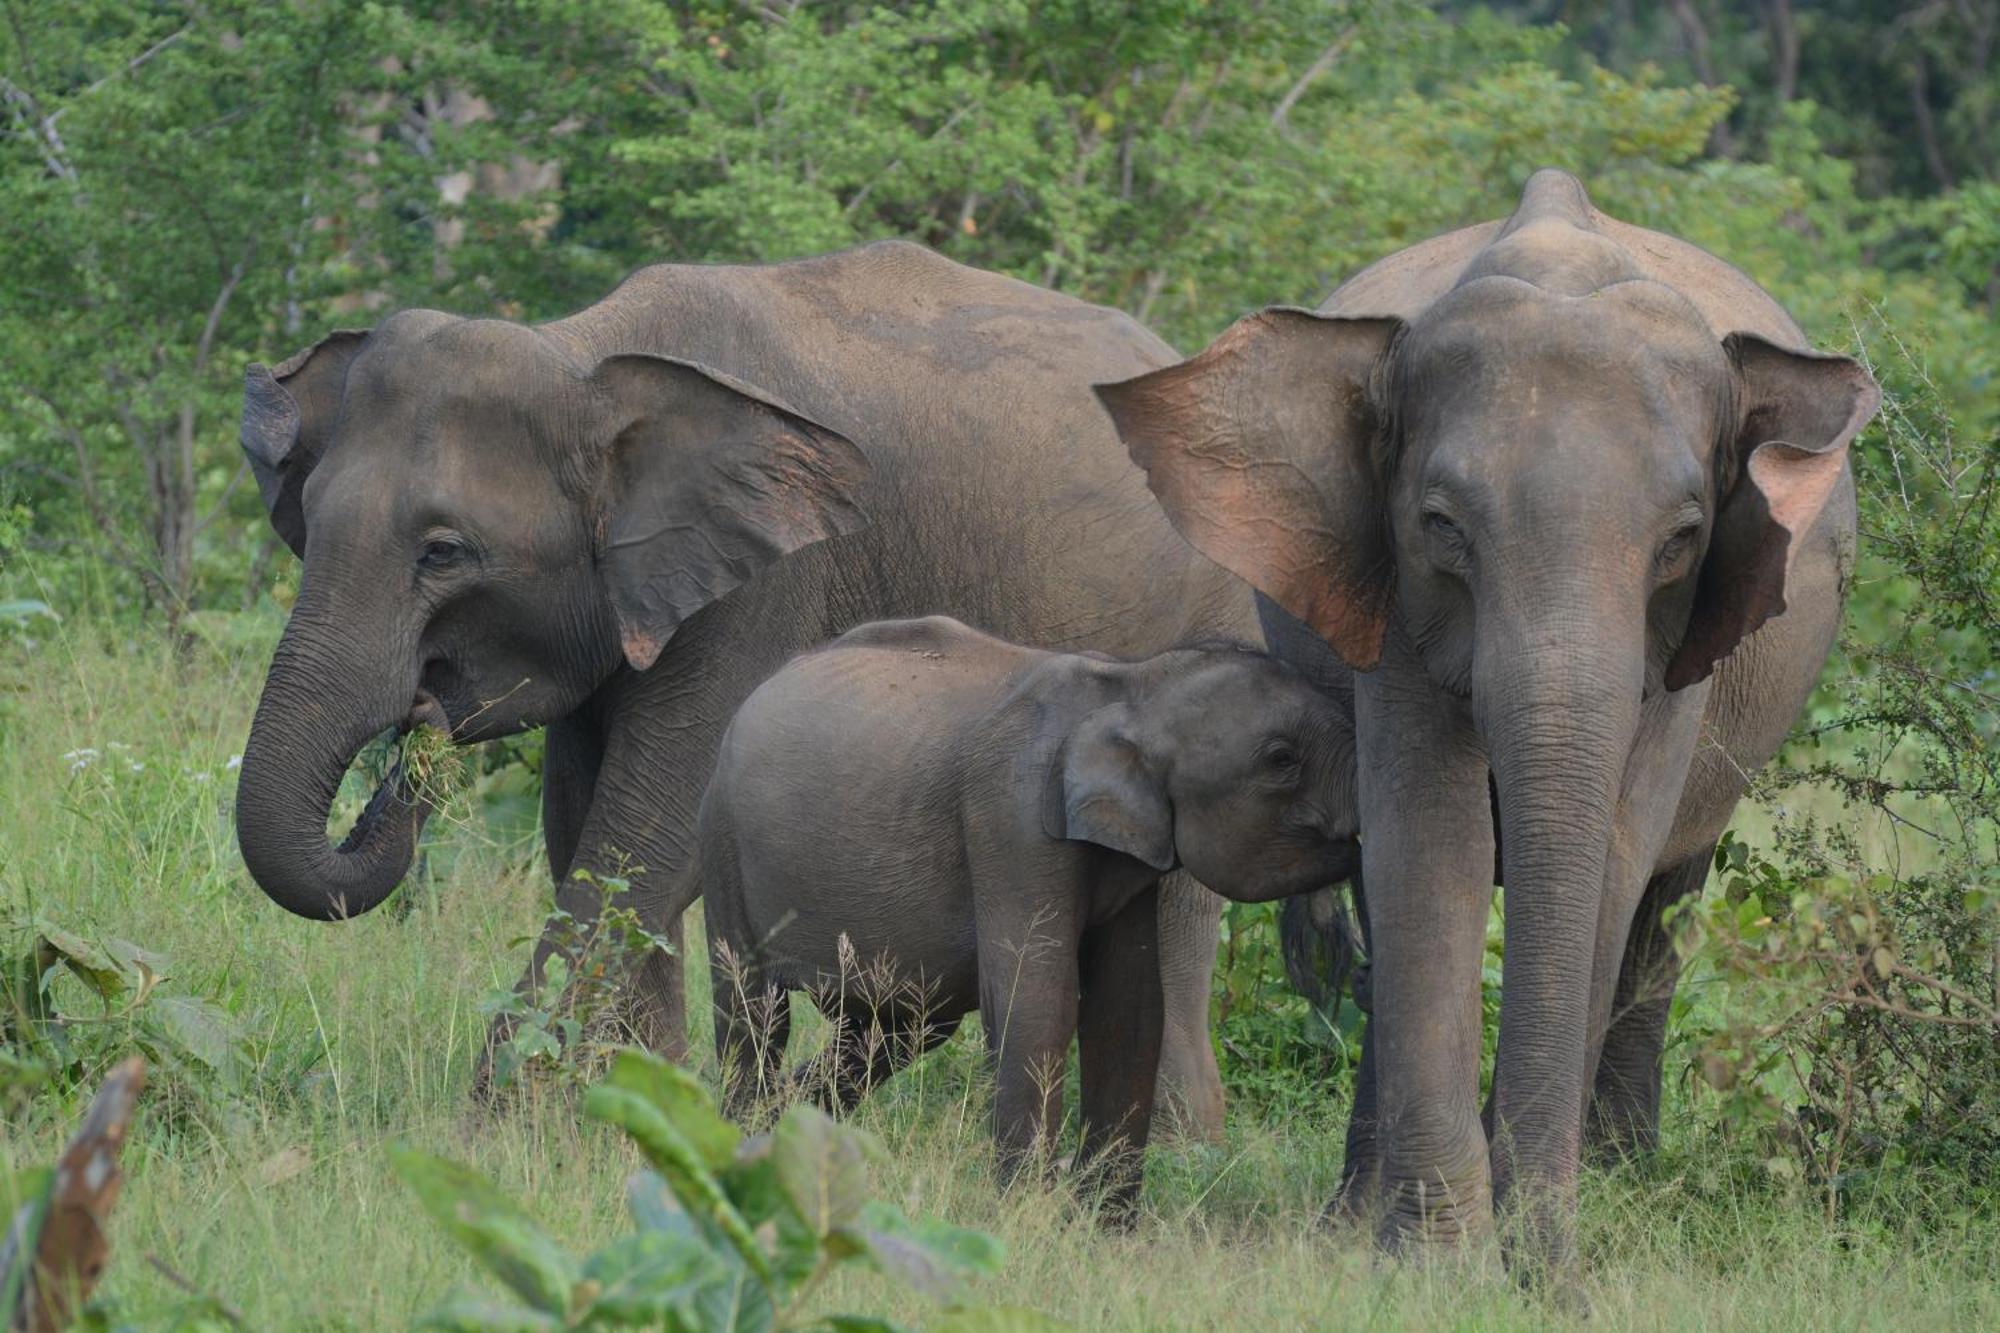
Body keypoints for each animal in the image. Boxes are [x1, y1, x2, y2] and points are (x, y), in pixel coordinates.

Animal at [234, 241, 1248, 1128]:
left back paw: (1186, 1151)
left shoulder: (767, 585)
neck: (586, 353)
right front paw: (632, 1116)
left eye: (443, 552)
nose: (421, 717)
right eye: (306, 521)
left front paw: (494, 1134)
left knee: (1179, 902)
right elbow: (586, 829)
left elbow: (650, 830)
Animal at [688, 616, 1360, 1216]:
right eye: (1281, 759)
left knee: (895, 1030)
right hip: (721, 840)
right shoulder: (1011, 820)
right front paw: (1024, 1216)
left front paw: (1104, 1231)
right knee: (755, 1010)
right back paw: (742, 1147)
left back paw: (785, 1133)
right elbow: (1037, 1002)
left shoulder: (1129, 856)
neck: (1131, 684)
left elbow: (1131, 1009)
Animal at [1104, 171, 1880, 1272]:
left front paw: (1525, 1249)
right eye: (1440, 526)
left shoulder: (1683, 646)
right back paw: (1355, 1216)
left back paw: (1620, 1178)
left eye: (1682, 539)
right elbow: (1434, 845)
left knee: (1667, 898)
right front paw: (1435, 1259)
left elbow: (1612, 856)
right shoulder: (1388, 596)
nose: (1549, 1273)